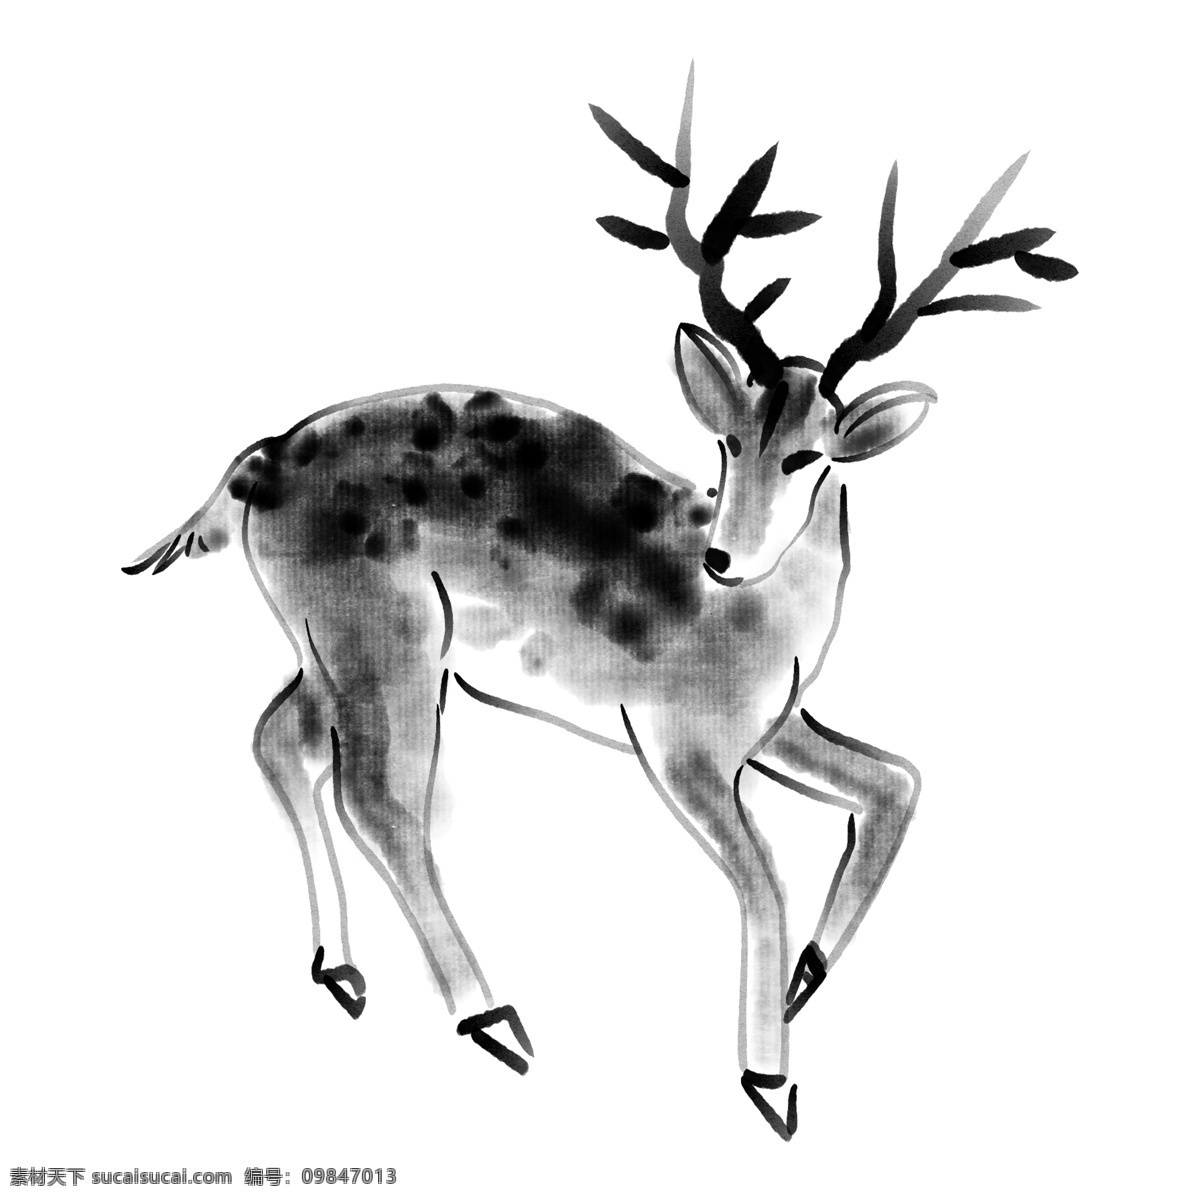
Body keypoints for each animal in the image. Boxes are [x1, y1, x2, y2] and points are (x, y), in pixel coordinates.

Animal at [122, 67, 1075, 1140]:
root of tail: (256, 464)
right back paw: (494, 1019)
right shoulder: (678, 740)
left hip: (323, 642)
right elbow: (764, 876)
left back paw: (344, 971)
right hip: (385, 641)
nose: (725, 556)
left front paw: (806, 979)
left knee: (278, 737)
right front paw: (771, 1082)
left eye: (809, 454)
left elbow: (897, 782)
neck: (757, 629)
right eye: (729, 441)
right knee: (378, 797)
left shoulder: (774, 725)